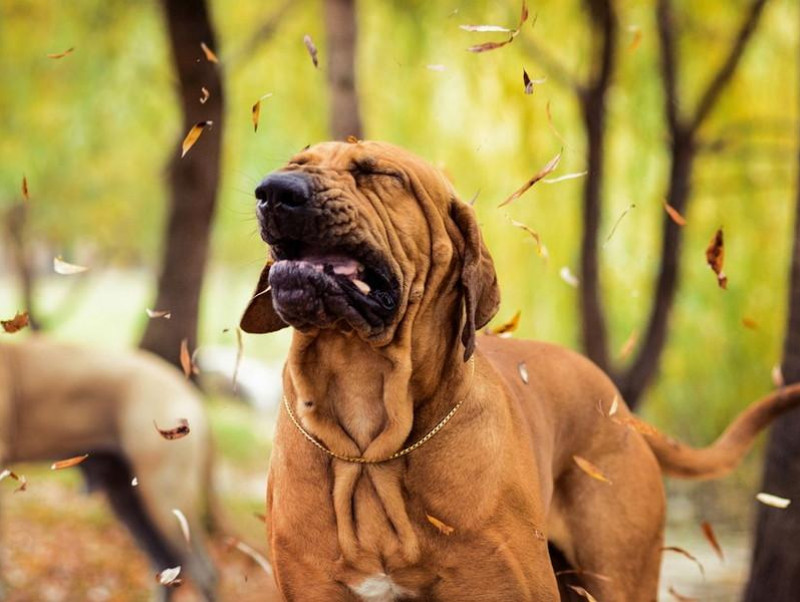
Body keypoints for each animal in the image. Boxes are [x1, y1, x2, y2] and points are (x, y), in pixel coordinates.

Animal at [241, 142, 800, 600]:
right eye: (296, 164)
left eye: (378, 173)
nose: (273, 191)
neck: (370, 443)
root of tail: (619, 405)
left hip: (618, 571)